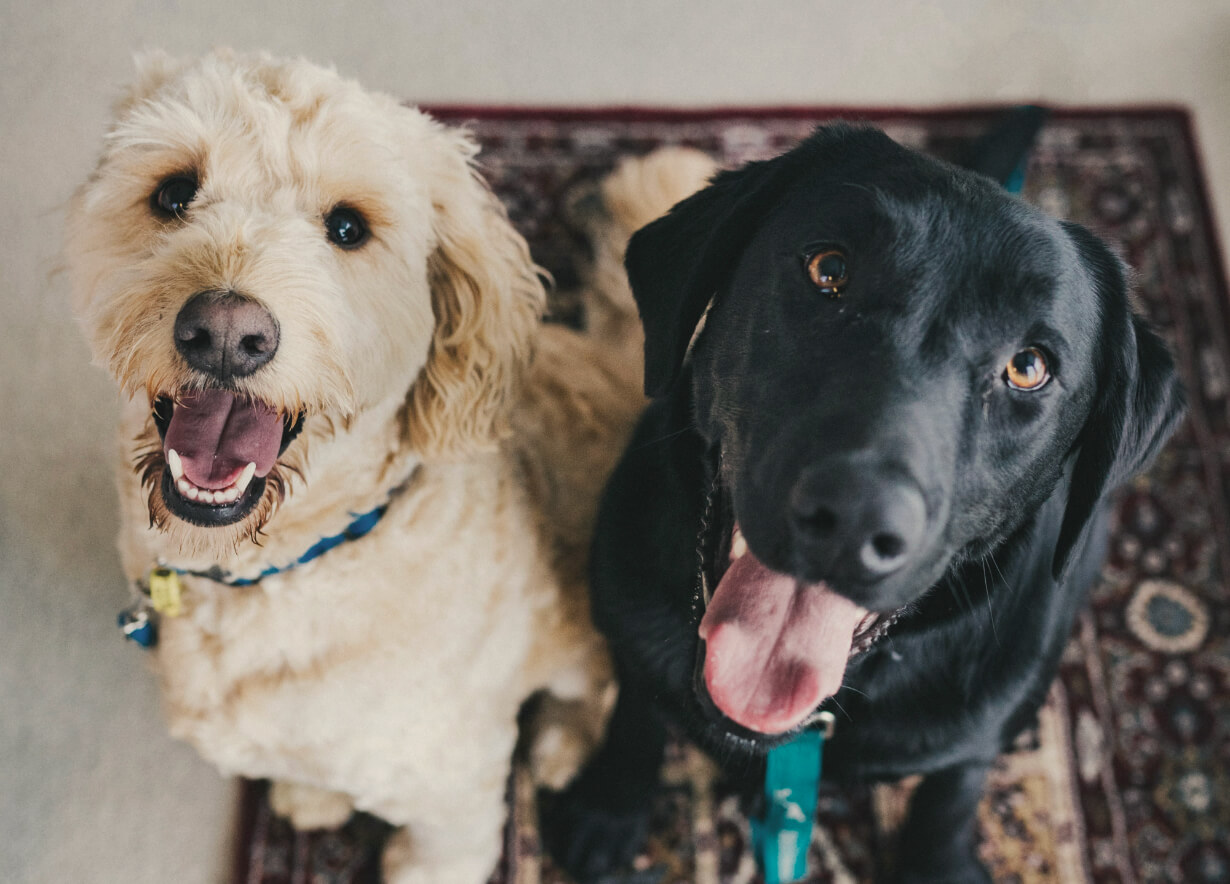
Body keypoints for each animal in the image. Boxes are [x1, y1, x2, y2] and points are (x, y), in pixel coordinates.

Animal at [67, 51, 718, 880]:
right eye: (174, 192)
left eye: (349, 227)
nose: (224, 332)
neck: (291, 565)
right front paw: (310, 795)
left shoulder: (453, 798)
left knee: (597, 687)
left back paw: (561, 744)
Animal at [546, 121, 1180, 880]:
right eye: (829, 270)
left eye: (1029, 367)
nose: (853, 520)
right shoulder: (629, 614)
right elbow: (636, 708)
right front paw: (609, 806)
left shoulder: (981, 721)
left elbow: (952, 788)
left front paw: (939, 862)